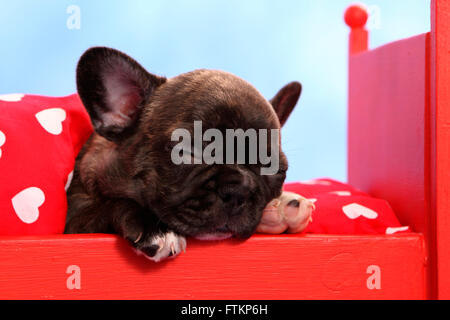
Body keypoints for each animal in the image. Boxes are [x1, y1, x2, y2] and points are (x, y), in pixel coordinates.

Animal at [64, 47, 302, 262]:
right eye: (186, 152)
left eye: (275, 169)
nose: (238, 191)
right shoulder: (75, 220)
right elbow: (111, 204)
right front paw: (155, 229)